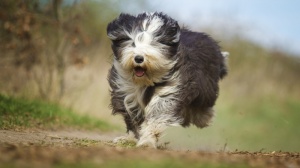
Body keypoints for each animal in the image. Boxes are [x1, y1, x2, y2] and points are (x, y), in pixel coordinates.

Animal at [106, 11, 226, 148]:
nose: (138, 58)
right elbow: (132, 118)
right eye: (132, 42)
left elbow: (158, 114)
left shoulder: (171, 89)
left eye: (153, 44)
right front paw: (132, 138)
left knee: (204, 103)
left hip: (206, 85)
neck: (146, 81)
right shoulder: (125, 92)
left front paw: (147, 141)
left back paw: (204, 118)